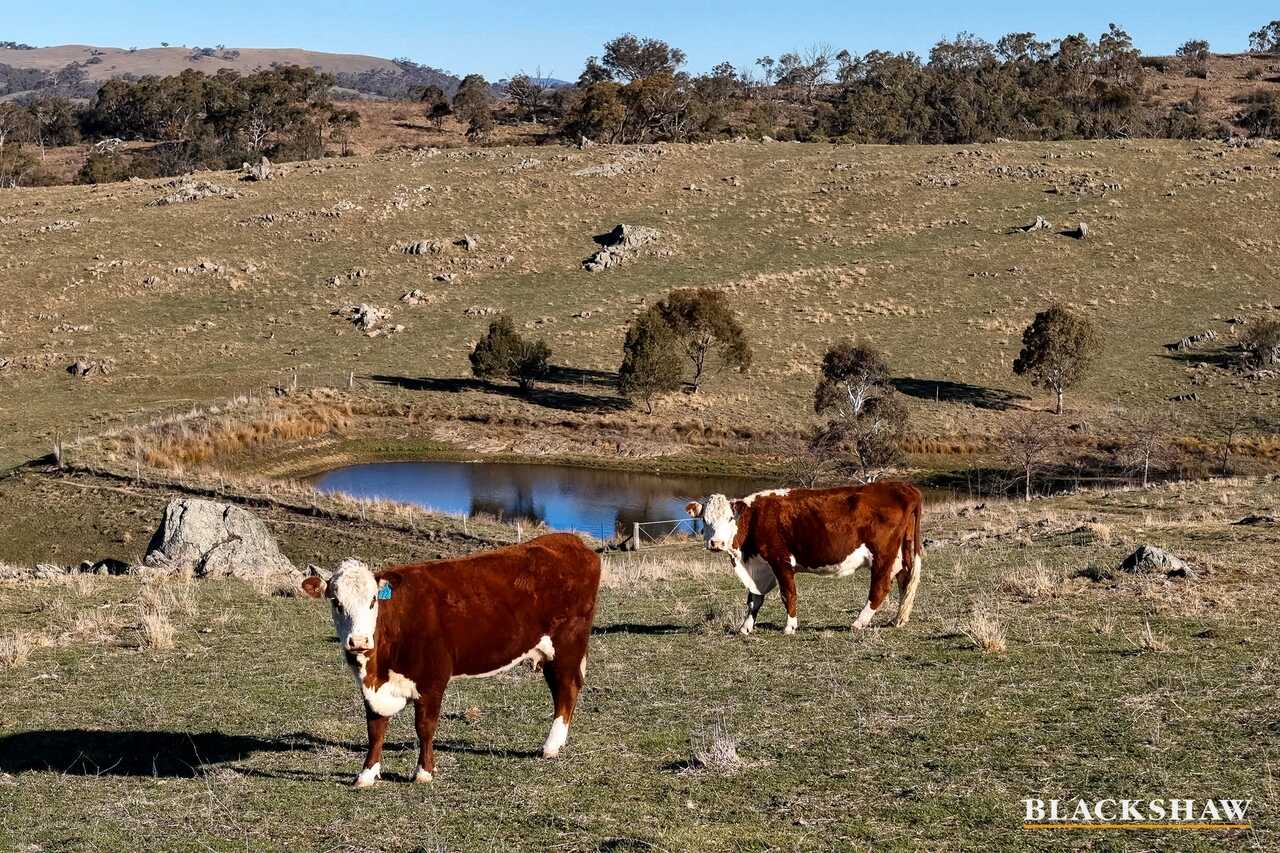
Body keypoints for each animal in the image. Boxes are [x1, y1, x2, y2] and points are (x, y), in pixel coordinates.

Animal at [301, 532, 601, 788]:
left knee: (567, 689)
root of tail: (572, 541)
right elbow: (375, 728)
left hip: (568, 644)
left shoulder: (433, 678)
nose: (359, 641)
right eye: (336, 602)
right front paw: (366, 774)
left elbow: (424, 726)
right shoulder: (371, 687)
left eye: (374, 600)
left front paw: (424, 772)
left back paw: (550, 747)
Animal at [685, 482, 923, 635]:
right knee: (904, 580)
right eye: (704, 520)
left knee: (880, 587)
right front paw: (745, 627)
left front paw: (790, 626)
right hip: (902, 551)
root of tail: (904, 487)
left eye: (729, 518)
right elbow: (754, 599)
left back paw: (858, 622)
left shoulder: (780, 560)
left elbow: (788, 594)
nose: (716, 543)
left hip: (882, 555)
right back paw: (898, 619)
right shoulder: (760, 566)